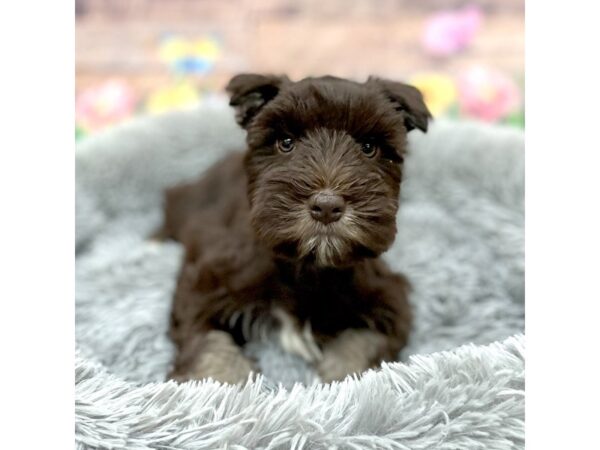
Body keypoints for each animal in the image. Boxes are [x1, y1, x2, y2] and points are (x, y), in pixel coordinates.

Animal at [159, 74, 432, 384]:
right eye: (286, 143)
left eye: (368, 147)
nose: (326, 206)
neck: (305, 266)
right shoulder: (204, 283)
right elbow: (209, 343)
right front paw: (224, 380)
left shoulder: (389, 299)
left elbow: (363, 344)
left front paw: (342, 378)